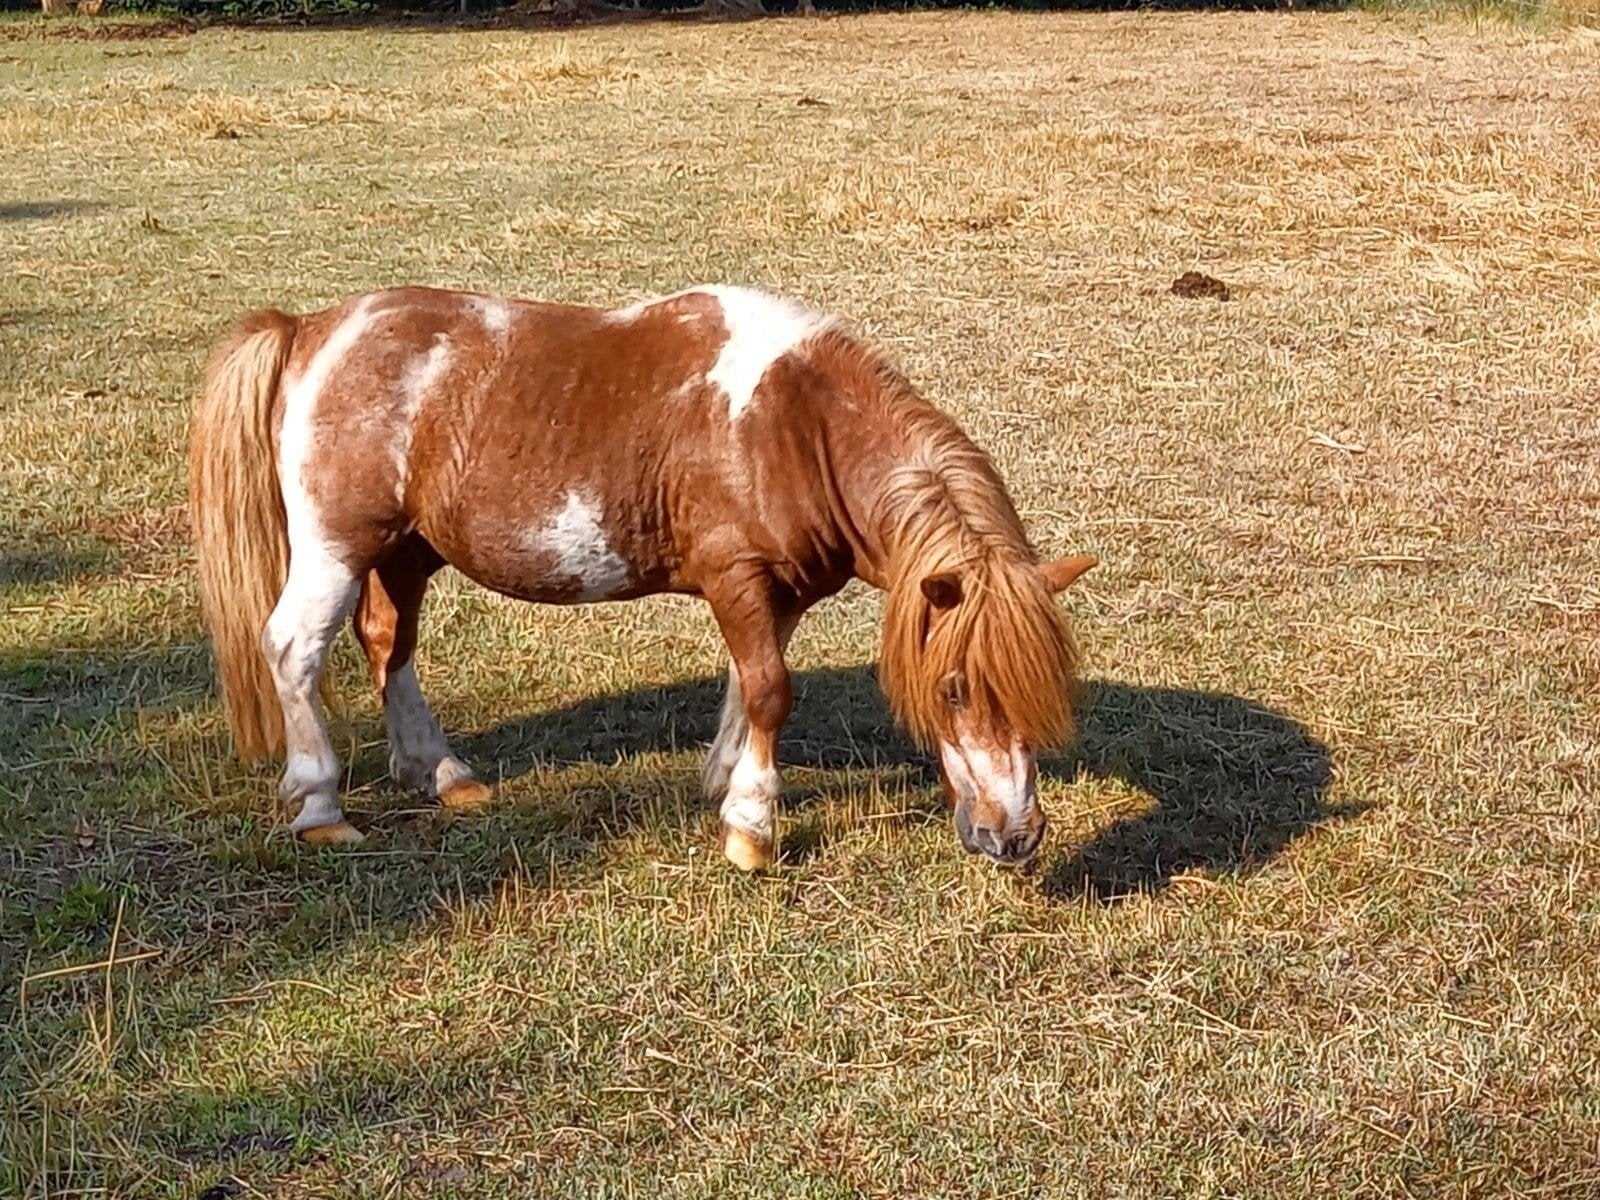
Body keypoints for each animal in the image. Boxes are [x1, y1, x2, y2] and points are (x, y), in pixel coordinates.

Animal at [188, 284, 1096, 870]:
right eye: (953, 688)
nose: (1015, 839)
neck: (794, 424)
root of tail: (310, 329)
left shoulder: (777, 593)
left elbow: (744, 688)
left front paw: (724, 785)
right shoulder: (739, 579)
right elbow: (770, 691)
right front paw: (752, 831)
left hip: (405, 550)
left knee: (389, 645)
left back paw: (444, 777)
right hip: (337, 548)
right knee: (295, 650)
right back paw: (320, 809)